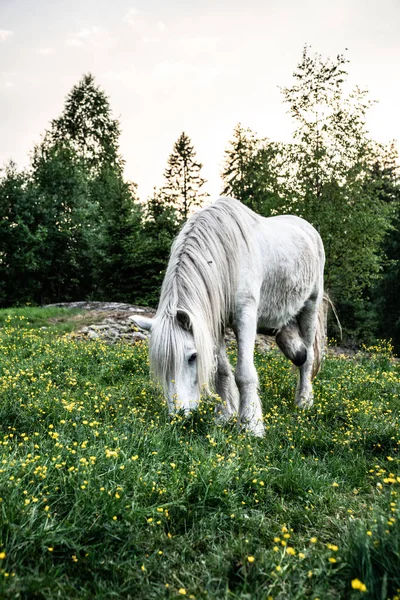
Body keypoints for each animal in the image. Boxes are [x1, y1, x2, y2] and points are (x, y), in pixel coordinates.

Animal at [134, 197, 324, 436]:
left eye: (192, 357)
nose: (179, 416)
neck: (225, 255)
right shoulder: (215, 322)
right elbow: (222, 371)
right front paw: (225, 415)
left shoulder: (245, 316)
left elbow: (244, 373)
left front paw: (252, 426)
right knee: (293, 345)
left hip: (311, 305)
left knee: (308, 358)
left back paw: (304, 402)